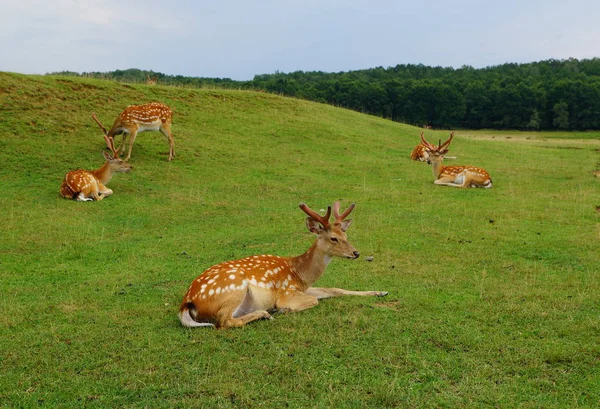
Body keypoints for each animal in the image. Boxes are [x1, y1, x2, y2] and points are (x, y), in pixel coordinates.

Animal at [179, 201, 390, 328]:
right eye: (333, 238)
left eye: (346, 235)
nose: (356, 253)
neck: (299, 274)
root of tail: (186, 303)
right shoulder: (287, 291)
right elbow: (312, 300)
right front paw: (282, 309)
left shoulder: (303, 288)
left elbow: (334, 289)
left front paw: (381, 291)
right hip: (234, 288)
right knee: (224, 321)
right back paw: (266, 313)